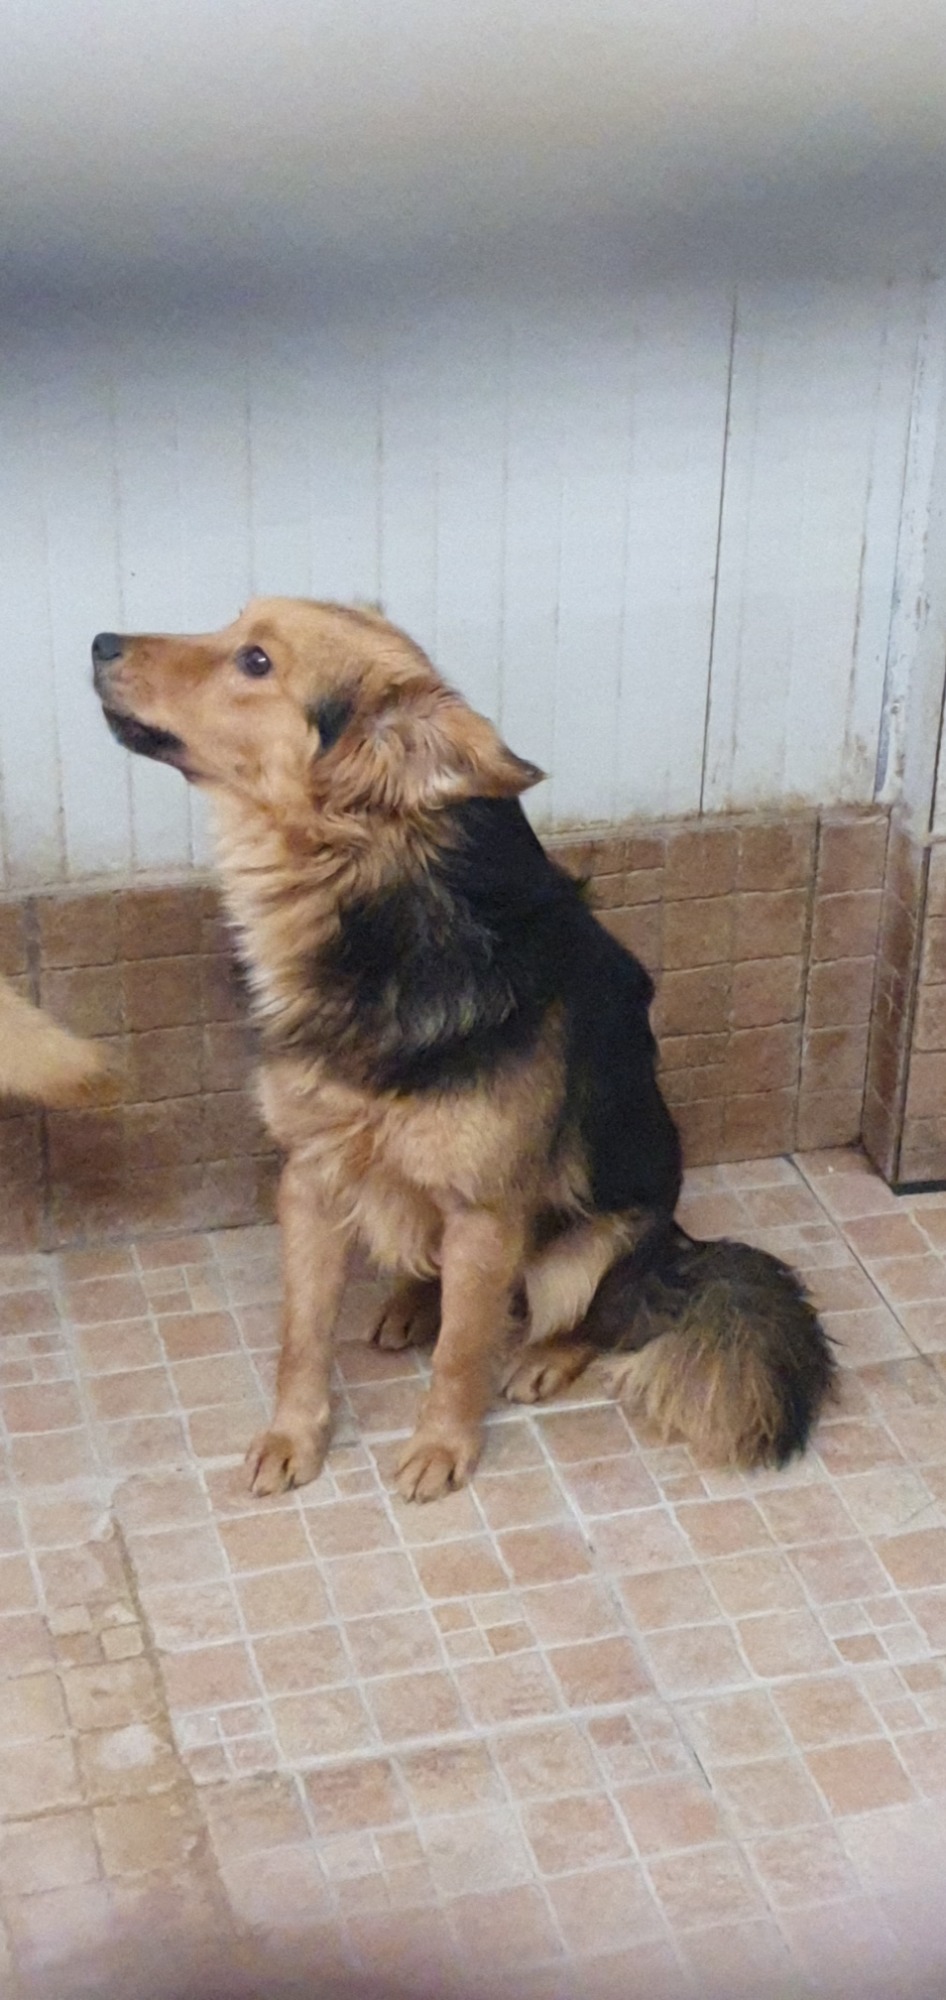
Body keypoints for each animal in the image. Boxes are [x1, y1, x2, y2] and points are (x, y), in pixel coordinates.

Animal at [92, 599, 835, 1502]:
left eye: (256, 660)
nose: (99, 642)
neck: (366, 899)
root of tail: (678, 1251)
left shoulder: (485, 1214)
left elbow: (460, 1353)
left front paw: (442, 1445)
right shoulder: (309, 1177)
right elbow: (302, 1335)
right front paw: (293, 1435)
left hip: (593, 1244)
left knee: (598, 1313)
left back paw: (546, 1353)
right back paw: (414, 1298)